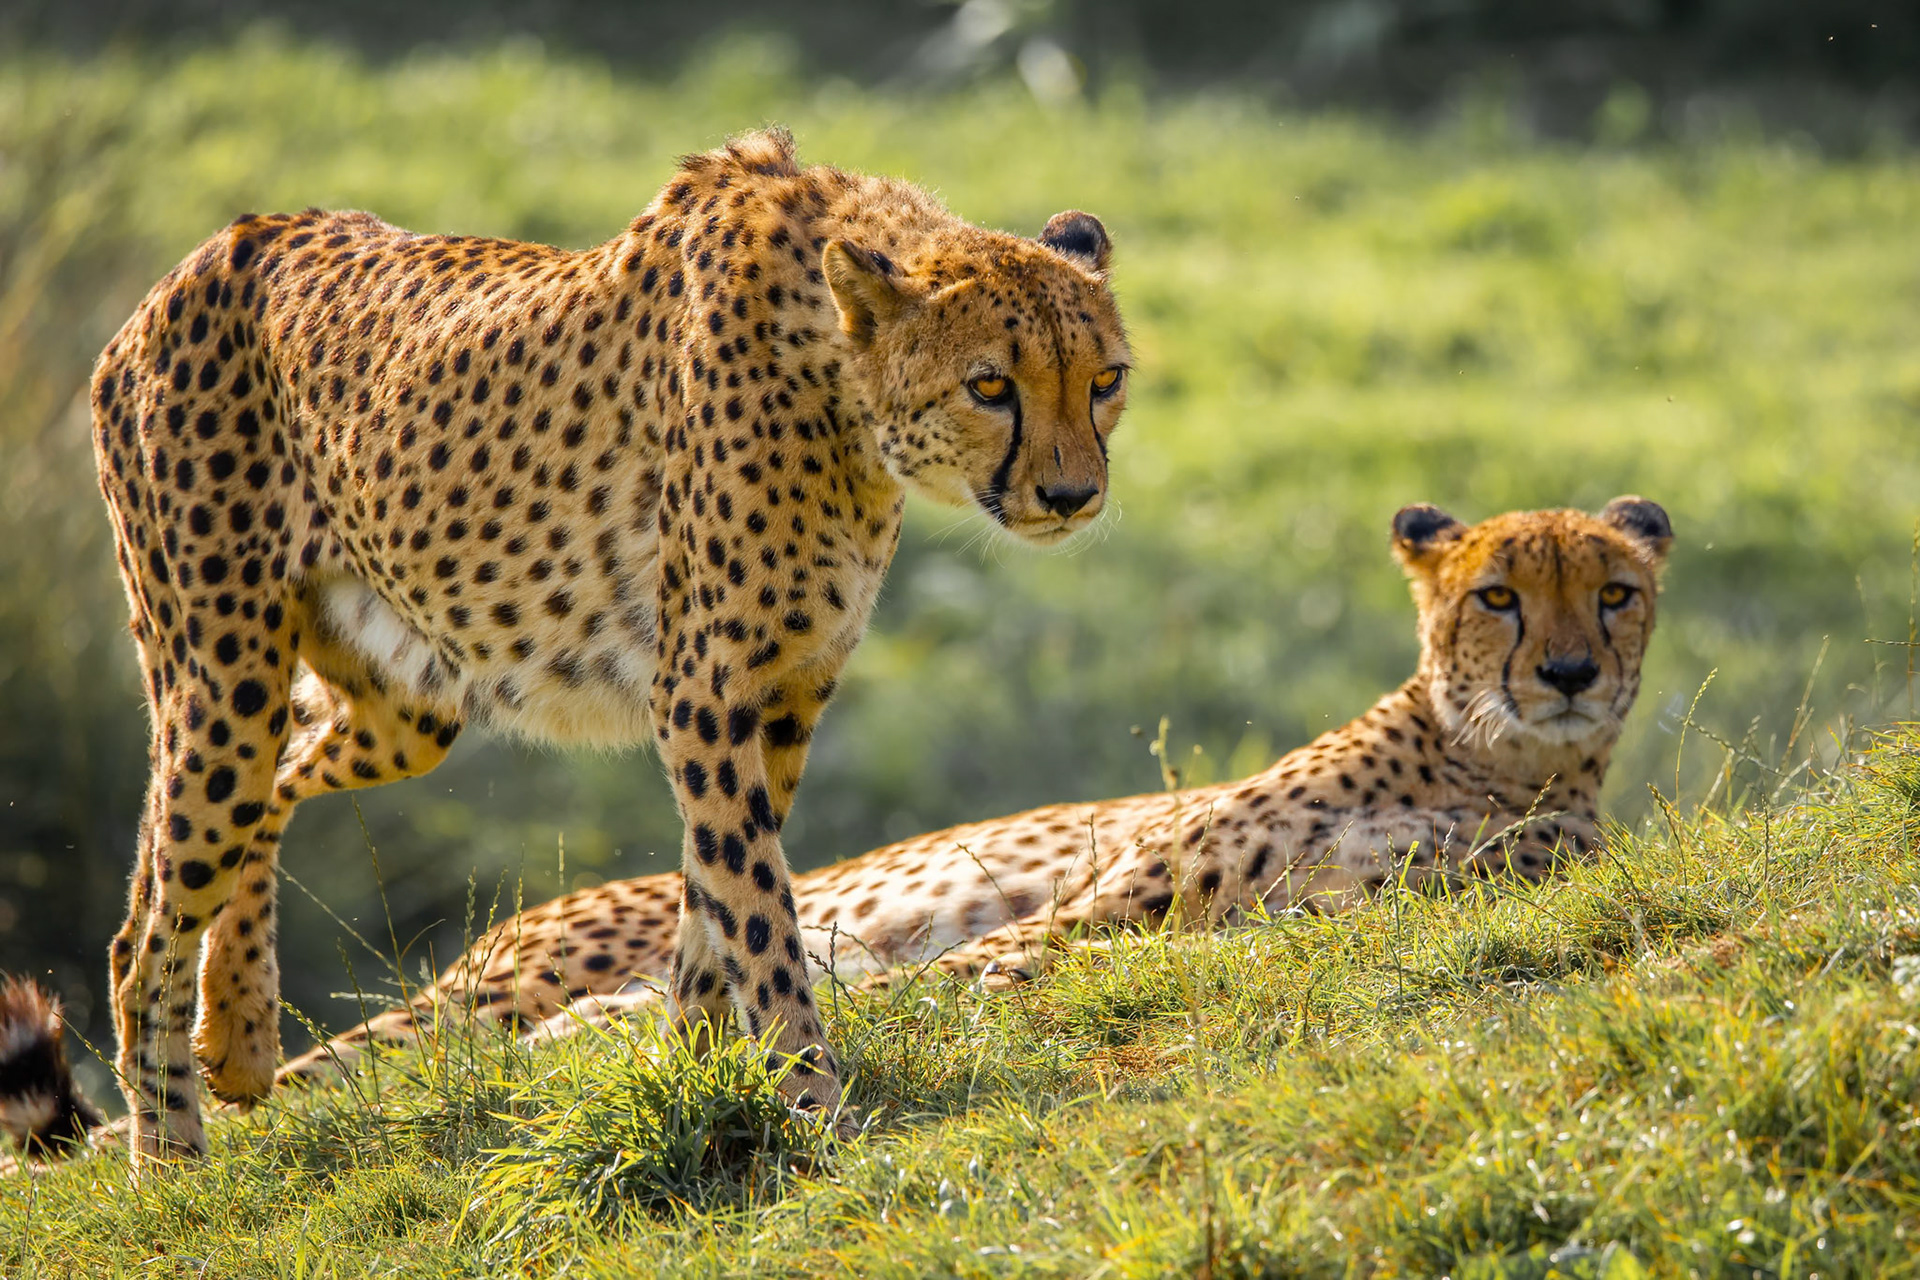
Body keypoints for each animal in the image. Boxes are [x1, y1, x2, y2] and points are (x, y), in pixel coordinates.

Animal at [83, 124, 1131, 1168]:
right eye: (989, 385)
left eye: (1106, 379)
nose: (1074, 496)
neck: (838, 378)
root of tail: (216, 248)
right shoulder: (704, 693)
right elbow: (759, 914)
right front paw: (812, 1108)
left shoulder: (783, 697)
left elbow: (713, 909)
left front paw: (700, 1075)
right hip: (222, 683)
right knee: (145, 928)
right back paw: (170, 1164)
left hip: (406, 709)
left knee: (270, 792)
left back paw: (240, 1035)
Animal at [254, 495, 1673, 1086]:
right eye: (1499, 594)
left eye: (1616, 591)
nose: (1567, 672)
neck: (1488, 754)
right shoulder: (1121, 897)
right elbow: (998, 958)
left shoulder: (1361, 899)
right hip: (498, 985)